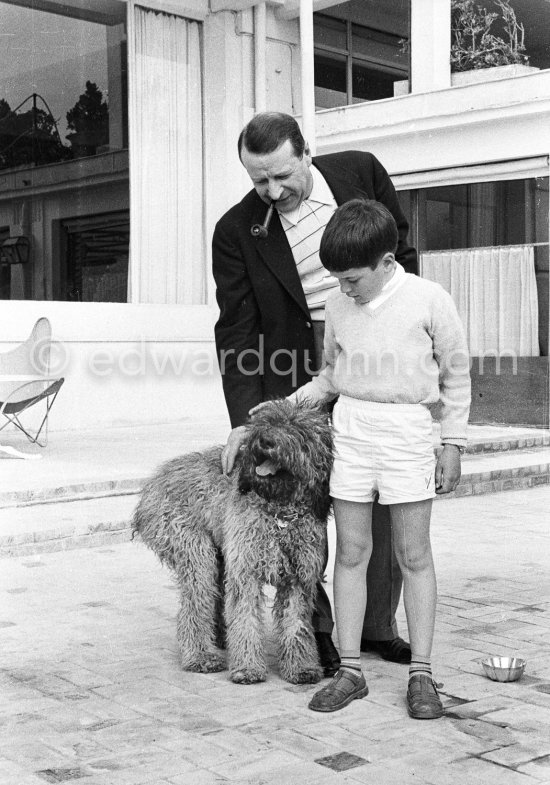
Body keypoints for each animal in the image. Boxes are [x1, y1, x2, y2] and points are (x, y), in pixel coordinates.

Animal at [133, 402, 332, 684]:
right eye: (267, 422)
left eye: (298, 430)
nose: (266, 441)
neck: (279, 511)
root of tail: (155, 480)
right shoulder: (245, 571)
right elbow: (245, 619)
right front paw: (248, 668)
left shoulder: (298, 578)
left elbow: (296, 625)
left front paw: (301, 668)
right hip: (196, 554)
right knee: (195, 608)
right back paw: (201, 655)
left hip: (218, 557)